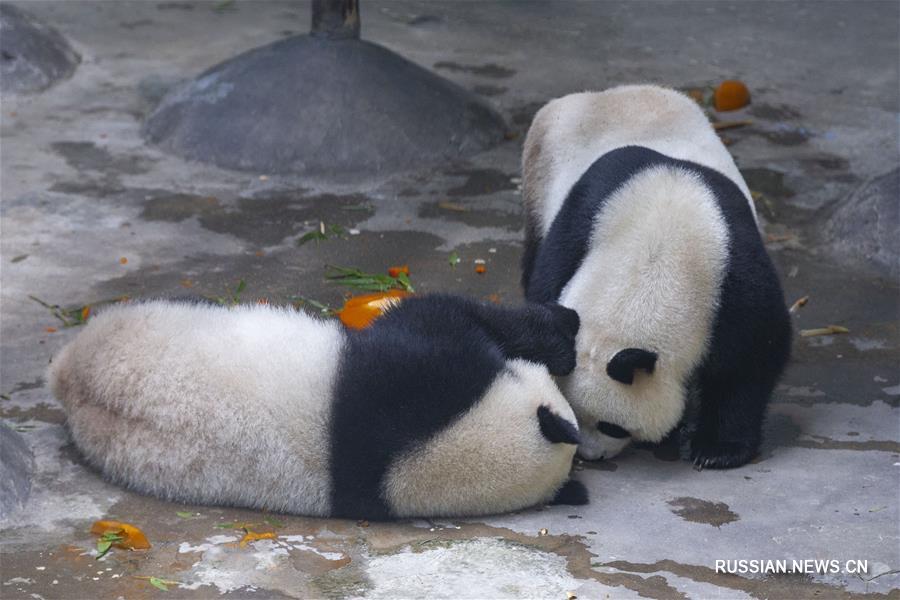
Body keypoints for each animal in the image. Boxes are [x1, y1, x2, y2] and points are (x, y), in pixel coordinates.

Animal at [520, 84, 788, 468]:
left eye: (612, 426)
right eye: (573, 414)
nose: (590, 455)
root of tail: (611, 92)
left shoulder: (732, 272)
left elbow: (751, 356)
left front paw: (716, 449)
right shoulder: (580, 227)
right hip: (540, 180)